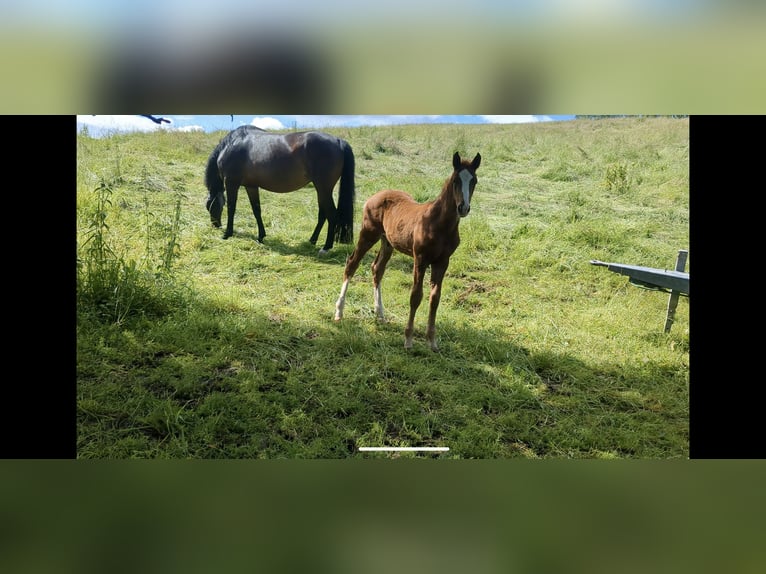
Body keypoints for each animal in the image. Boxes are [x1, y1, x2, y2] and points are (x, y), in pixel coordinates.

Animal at [206, 126, 358, 254]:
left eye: (209, 206)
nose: (216, 225)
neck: (232, 144)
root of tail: (338, 141)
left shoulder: (231, 183)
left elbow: (231, 208)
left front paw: (227, 233)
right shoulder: (251, 186)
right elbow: (256, 210)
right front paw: (261, 236)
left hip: (323, 188)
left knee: (332, 215)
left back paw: (326, 247)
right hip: (321, 190)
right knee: (323, 215)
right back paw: (312, 240)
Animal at [334, 151, 484, 354]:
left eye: (474, 180)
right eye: (455, 180)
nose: (463, 208)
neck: (439, 224)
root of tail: (376, 195)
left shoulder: (442, 262)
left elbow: (435, 299)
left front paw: (432, 342)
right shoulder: (420, 259)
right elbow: (416, 296)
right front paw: (408, 339)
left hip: (387, 242)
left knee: (377, 269)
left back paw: (380, 314)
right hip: (368, 234)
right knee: (352, 264)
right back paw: (339, 312)